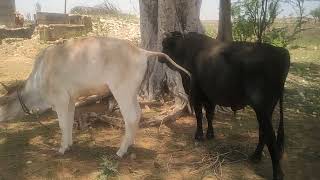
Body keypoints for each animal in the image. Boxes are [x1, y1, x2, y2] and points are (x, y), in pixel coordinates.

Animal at [160, 31, 290, 179]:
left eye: (165, 44)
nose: (161, 55)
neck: (187, 49)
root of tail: (280, 52)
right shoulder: (210, 96)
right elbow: (210, 115)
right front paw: (210, 134)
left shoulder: (196, 94)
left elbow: (199, 115)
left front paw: (199, 136)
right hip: (268, 109)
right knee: (264, 132)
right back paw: (255, 156)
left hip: (261, 108)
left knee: (270, 137)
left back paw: (277, 173)